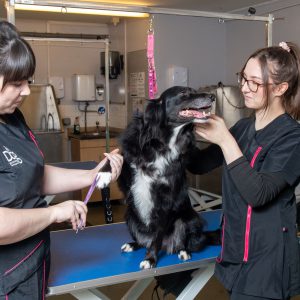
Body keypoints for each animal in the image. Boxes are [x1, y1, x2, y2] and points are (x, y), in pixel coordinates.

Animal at [114, 85, 216, 268]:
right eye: (184, 93)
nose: (212, 96)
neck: (162, 143)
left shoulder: (166, 200)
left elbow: (157, 235)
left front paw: (150, 258)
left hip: (188, 219)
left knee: (183, 241)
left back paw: (183, 251)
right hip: (130, 215)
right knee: (143, 240)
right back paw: (133, 244)